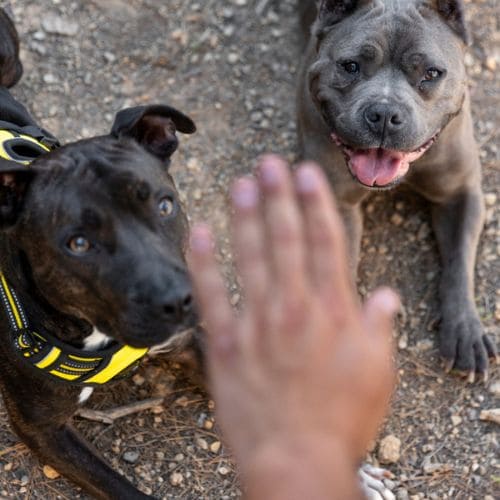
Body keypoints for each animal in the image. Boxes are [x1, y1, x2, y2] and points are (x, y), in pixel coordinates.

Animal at [296, 0, 496, 380]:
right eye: (350, 66)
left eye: (431, 73)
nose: (384, 114)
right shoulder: (334, 200)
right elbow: (342, 263)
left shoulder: (461, 193)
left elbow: (459, 262)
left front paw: (464, 329)